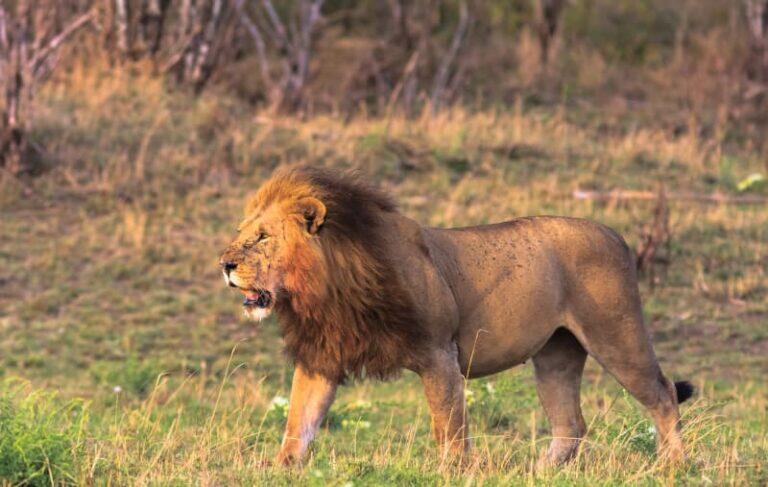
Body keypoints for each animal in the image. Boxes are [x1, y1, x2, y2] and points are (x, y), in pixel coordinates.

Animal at [219, 167, 693, 467]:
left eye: (262, 238)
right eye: (242, 235)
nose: (224, 263)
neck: (327, 289)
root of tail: (616, 234)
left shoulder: (438, 353)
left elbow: (448, 425)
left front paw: (454, 471)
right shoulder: (322, 358)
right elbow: (299, 421)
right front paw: (280, 468)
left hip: (616, 336)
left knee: (663, 394)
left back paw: (672, 465)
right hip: (556, 354)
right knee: (571, 423)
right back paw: (541, 471)